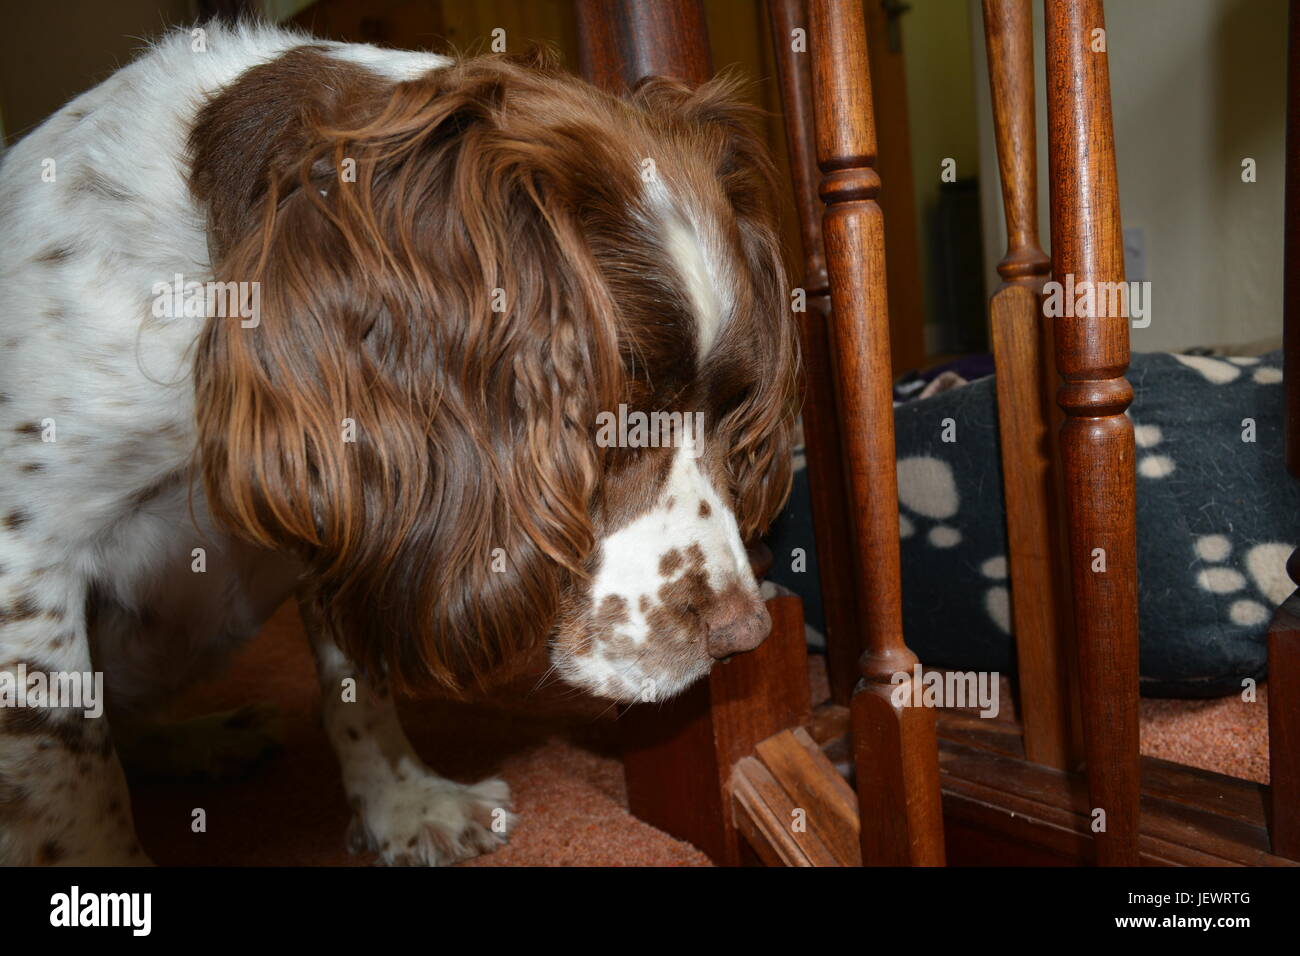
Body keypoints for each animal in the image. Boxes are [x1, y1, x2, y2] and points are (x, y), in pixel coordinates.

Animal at [0, 22, 795, 863]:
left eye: (732, 405)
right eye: (615, 416)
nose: (745, 637)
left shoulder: (339, 481)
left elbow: (357, 676)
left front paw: (403, 804)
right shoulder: (26, 565)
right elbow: (70, 772)